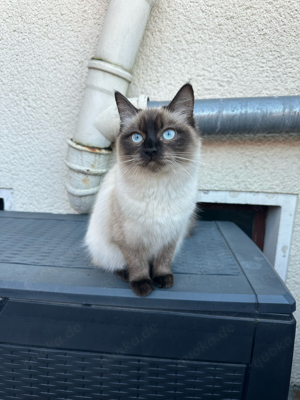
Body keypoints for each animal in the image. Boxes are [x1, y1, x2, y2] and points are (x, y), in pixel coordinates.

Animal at [84, 83, 202, 296]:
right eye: (137, 138)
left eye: (168, 134)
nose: (151, 150)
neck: (159, 189)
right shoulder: (129, 238)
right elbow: (137, 263)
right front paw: (143, 285)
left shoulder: (172, 235)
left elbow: (163, 260)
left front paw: (163, 279)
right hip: (106, 249)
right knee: (111, 263)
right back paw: (126, 275)